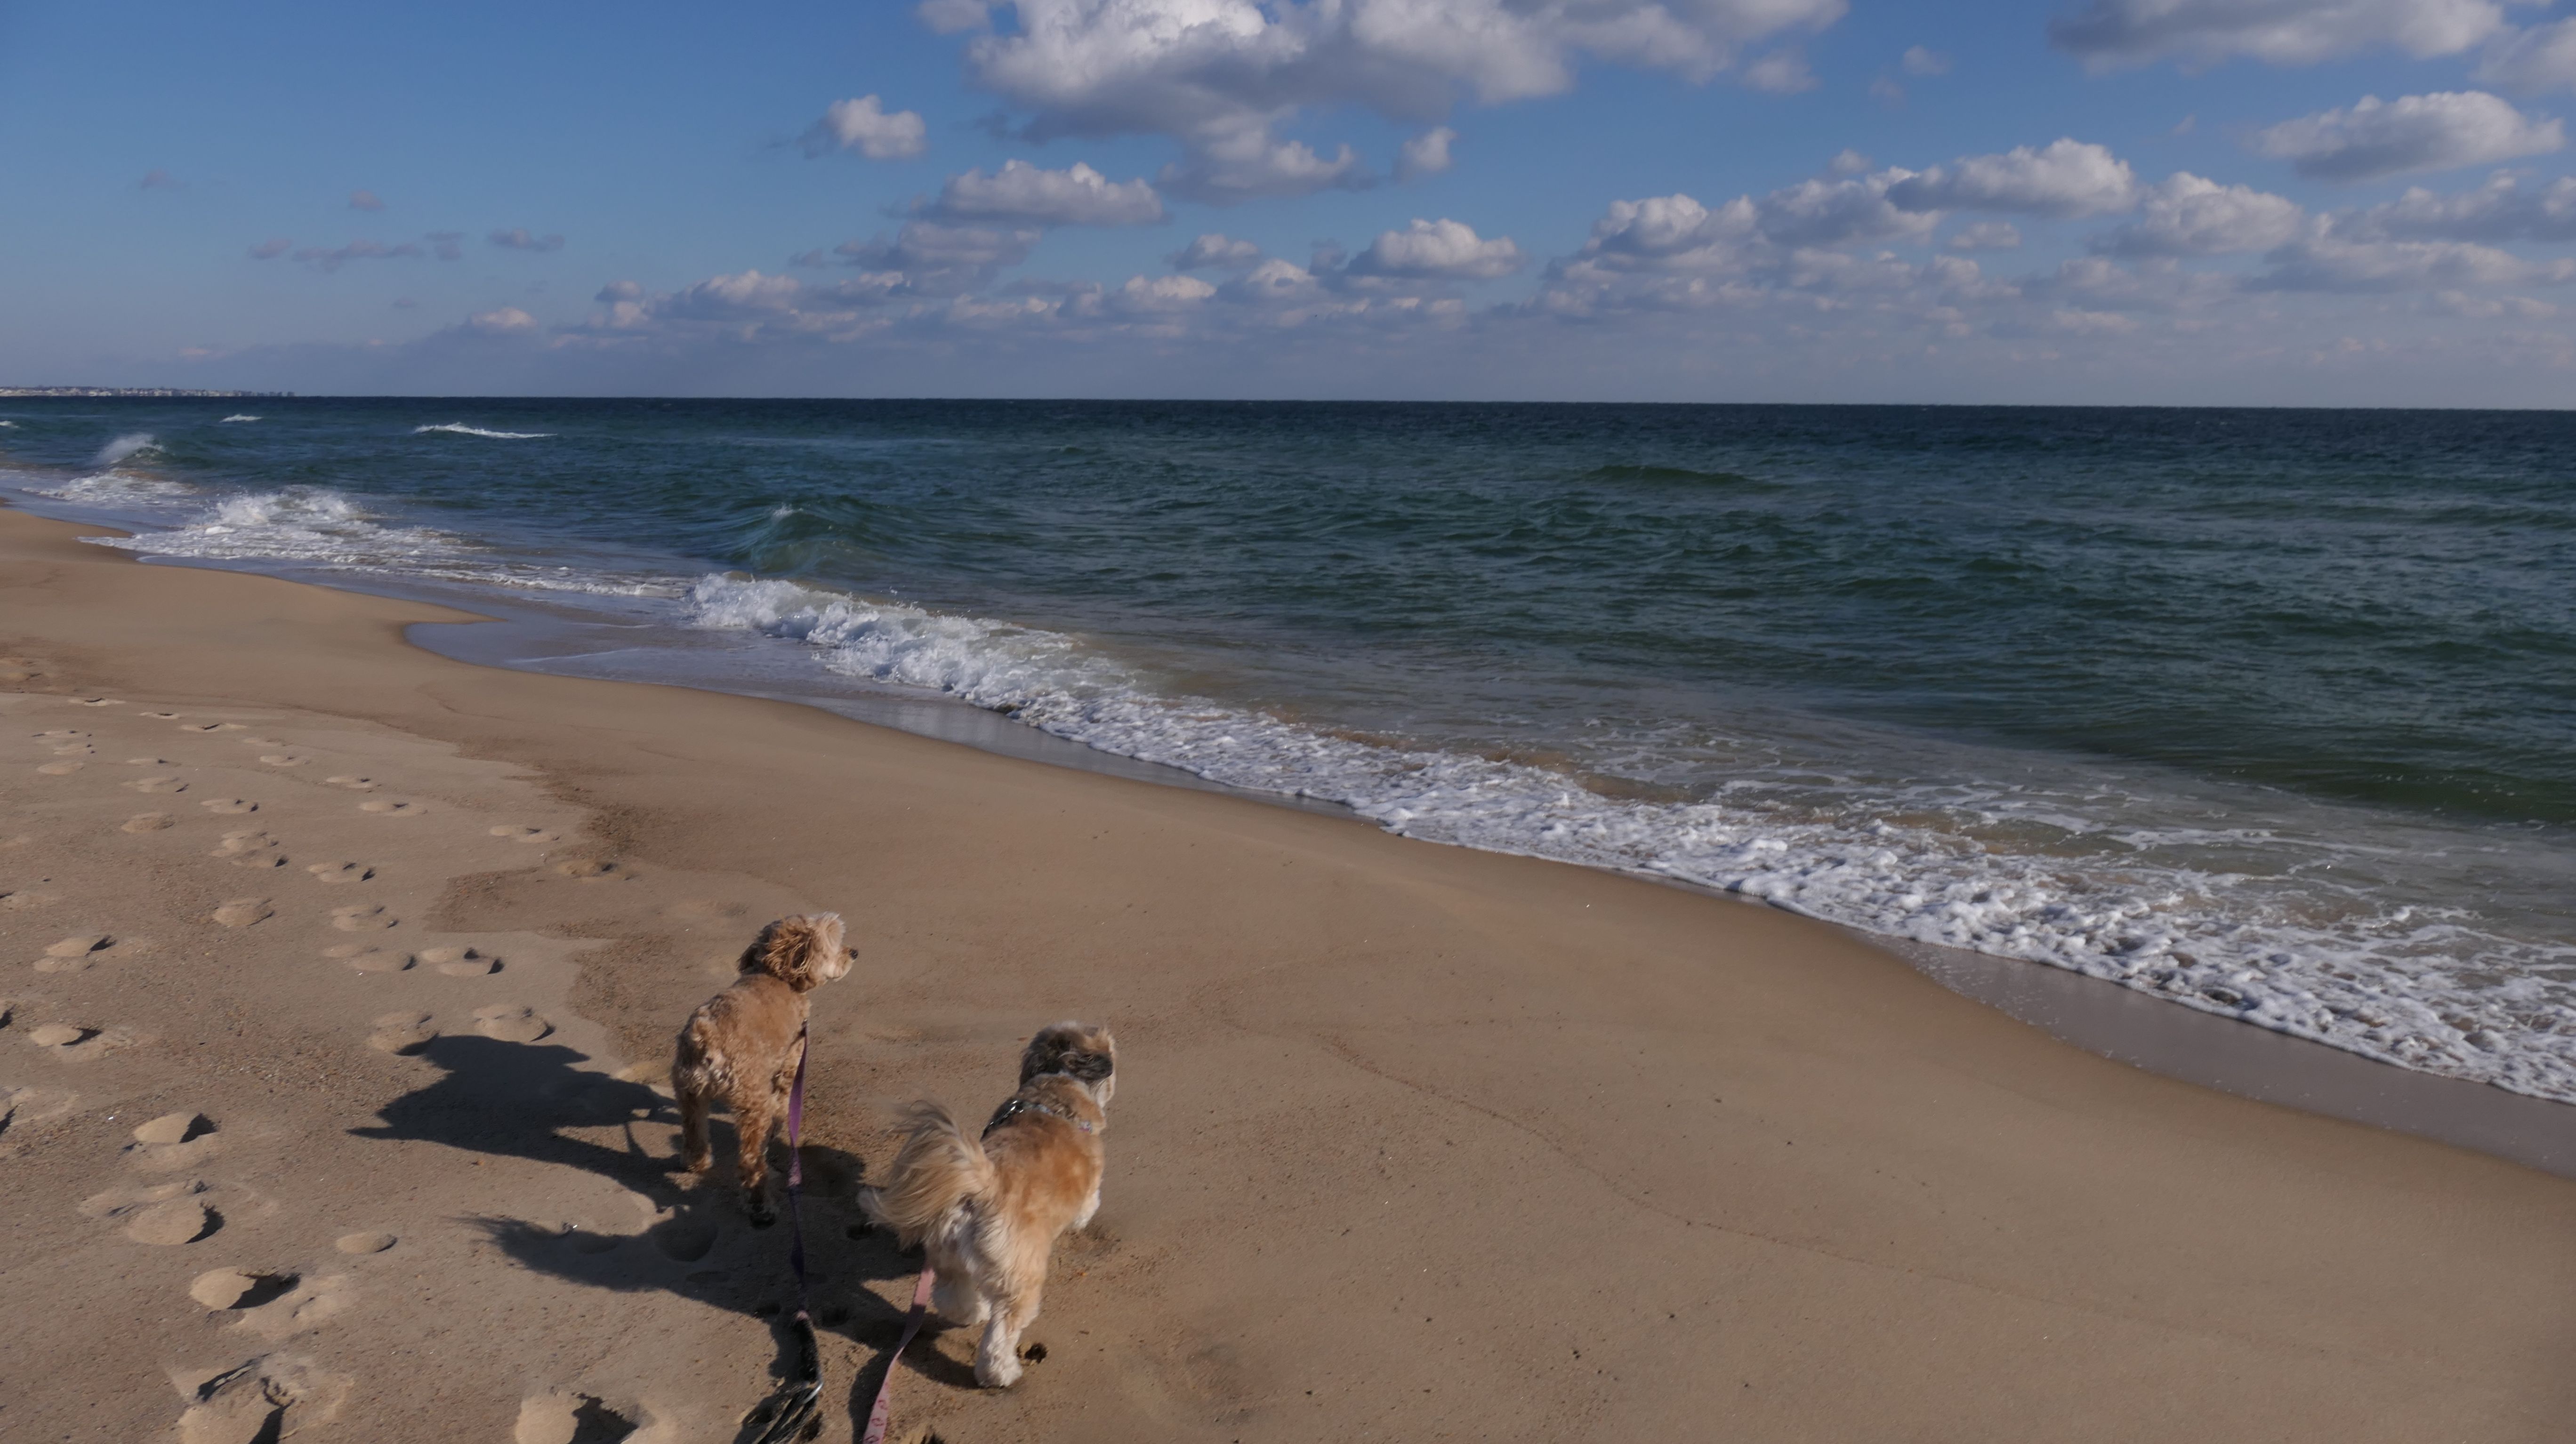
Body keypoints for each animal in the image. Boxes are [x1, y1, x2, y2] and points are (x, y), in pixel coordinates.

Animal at [672, 913, 852, 1223]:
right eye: (834, 941)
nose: (854, 953)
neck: (775, 974)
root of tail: (707, 1036)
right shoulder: (792, 1061)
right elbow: (783, 1101)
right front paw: (780, 1123)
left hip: (689, 1092)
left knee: (694, 1130)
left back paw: (697, 1162)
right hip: (752, 1101)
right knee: (751, 1162)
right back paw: (761, 1205)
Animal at [861, 1021, 1117, 1388]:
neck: (1056, 1094)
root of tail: (986, 1185)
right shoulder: (1091, 1183)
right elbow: (1088, 1205)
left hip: (949, 1256)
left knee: (953, 1295)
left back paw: (972, 1312)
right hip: (1020, 1278)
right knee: (1003, 1330)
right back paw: (1000, 1373)